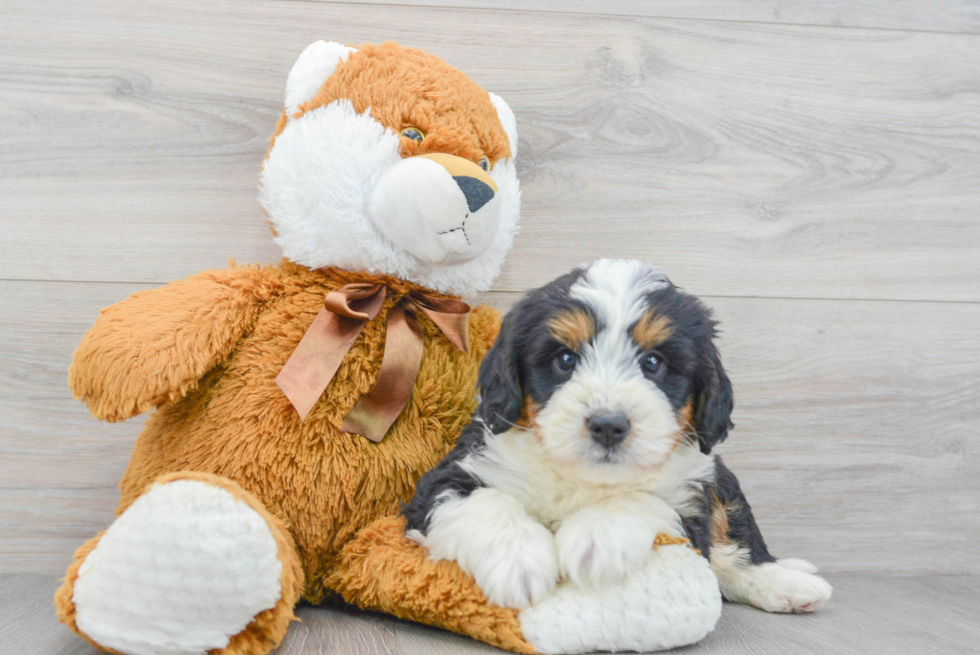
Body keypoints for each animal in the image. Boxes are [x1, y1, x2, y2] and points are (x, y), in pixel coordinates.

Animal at [406, 260, 836, 616]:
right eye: (565, 359)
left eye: (653, 363)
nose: (608, 425)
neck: (583, 478)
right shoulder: (450, 475)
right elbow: (484, 501)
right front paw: (519, 562)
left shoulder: (691, 497)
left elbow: (643, 500)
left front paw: (596, 540)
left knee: (731, 536)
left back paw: (785, 581)